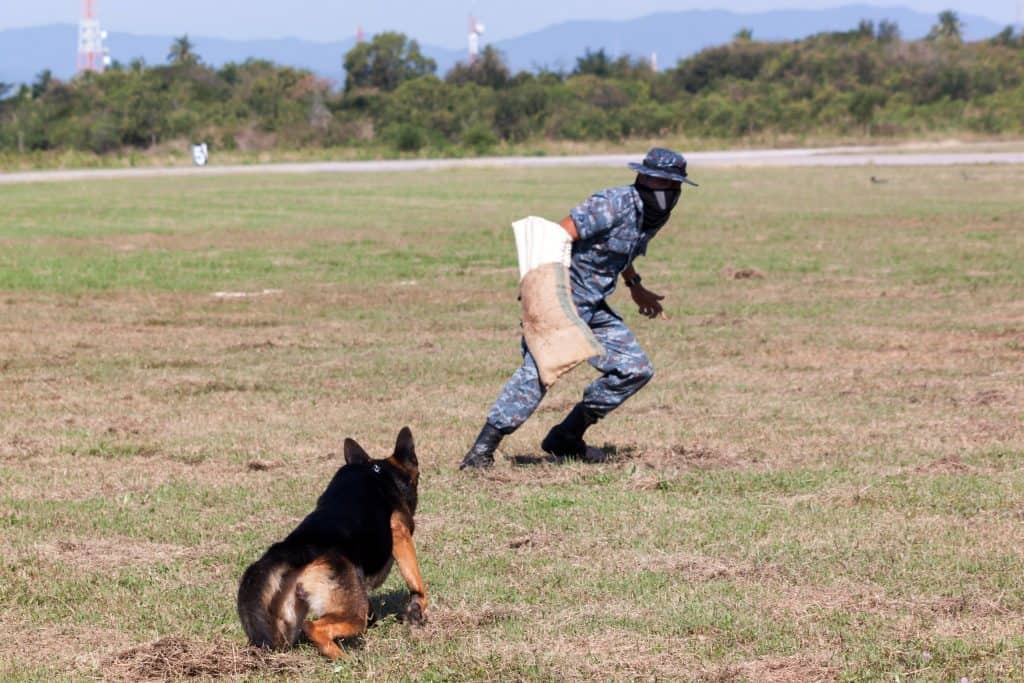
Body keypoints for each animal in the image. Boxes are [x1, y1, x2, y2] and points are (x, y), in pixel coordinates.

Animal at [237, 423, 425, 659]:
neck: (378, 472)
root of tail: (293, 548)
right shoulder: (400, 535)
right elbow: (416, 580)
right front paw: (418, 608)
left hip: (285, 625)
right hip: (352, 612)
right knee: (314, 627)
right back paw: (344, 658)